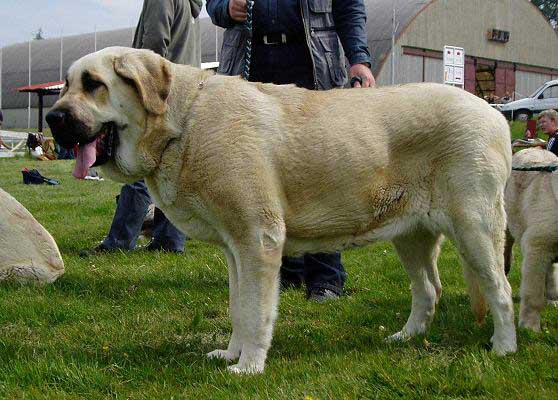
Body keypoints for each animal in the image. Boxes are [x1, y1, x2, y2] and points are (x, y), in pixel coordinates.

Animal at [46, 47, 520, 376]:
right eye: (65, 85)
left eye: (93, 83)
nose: (52, 118)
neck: (184, 122)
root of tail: (496, 114)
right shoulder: (235, 250)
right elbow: (238, 307)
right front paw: (230, 354)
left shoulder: (258, 240)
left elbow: (257, 312)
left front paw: (249, 367)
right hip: (411, 235)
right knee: (428, 290)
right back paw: (405, 338)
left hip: (475, 227)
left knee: (500, 289)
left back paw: (505, 347)